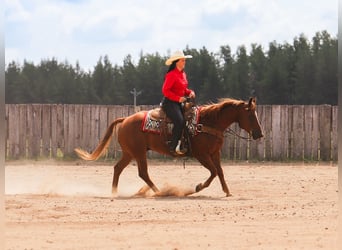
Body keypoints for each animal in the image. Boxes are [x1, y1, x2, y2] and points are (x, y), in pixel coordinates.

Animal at [75, 96, 264, 196]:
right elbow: (214, 172)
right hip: (138, 152)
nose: (259, 134)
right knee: (143, 173)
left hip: (129, 153)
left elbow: (220, 172)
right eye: (250, 115)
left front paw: (227, 191)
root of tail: (125, 119)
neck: (207, 122)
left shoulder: (214, 153)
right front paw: (197, 187)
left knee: (118, 168)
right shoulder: (201, 155)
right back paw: (158, 191)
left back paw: (115, 192)